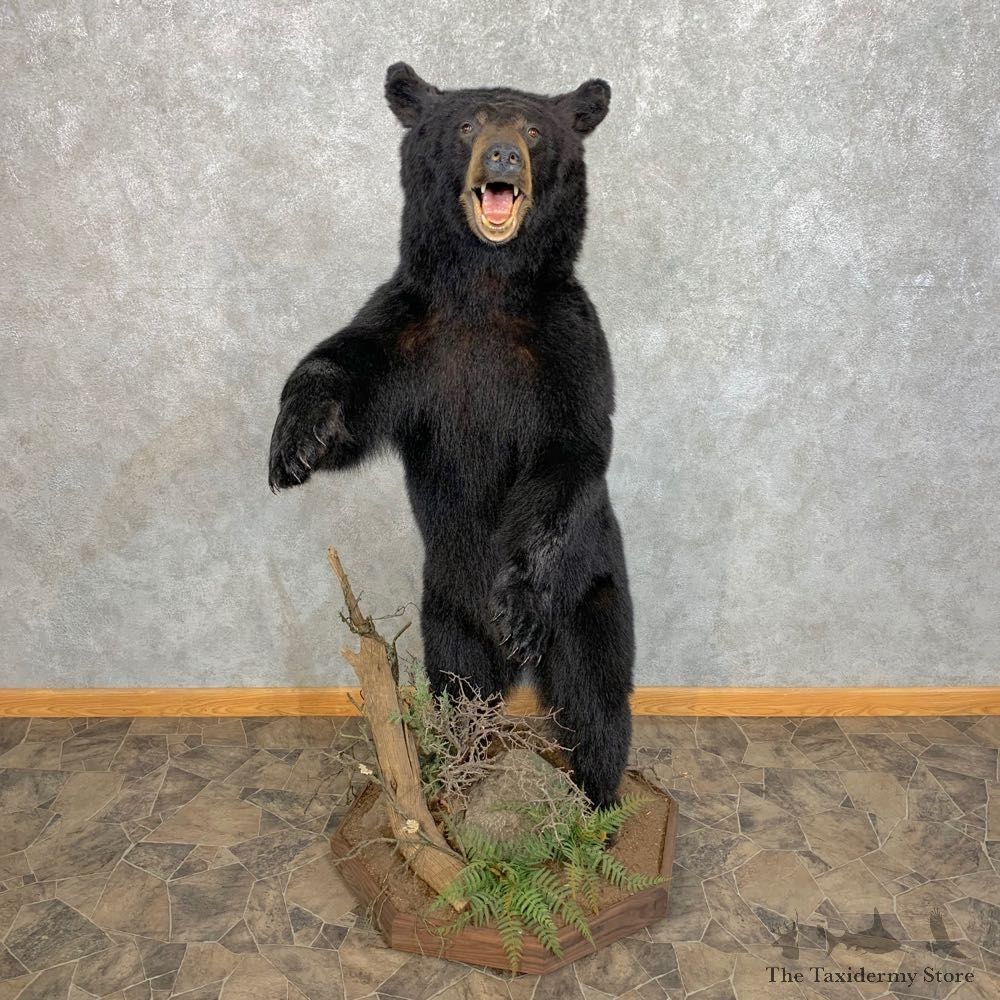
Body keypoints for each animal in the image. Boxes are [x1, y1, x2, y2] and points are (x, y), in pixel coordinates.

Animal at [269, 63, 634, 807]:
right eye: (466, 125)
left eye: (533, 131)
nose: (502, 157)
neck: (485, 292)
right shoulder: (411, 335)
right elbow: (345, 379)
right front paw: (297, 440)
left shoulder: (568, 344)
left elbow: (571, 450)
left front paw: (517, 600)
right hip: (444, 618)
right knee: (461, 689)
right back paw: (454, 772)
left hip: (590, 596)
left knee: (595, 699)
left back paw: (598, 803)